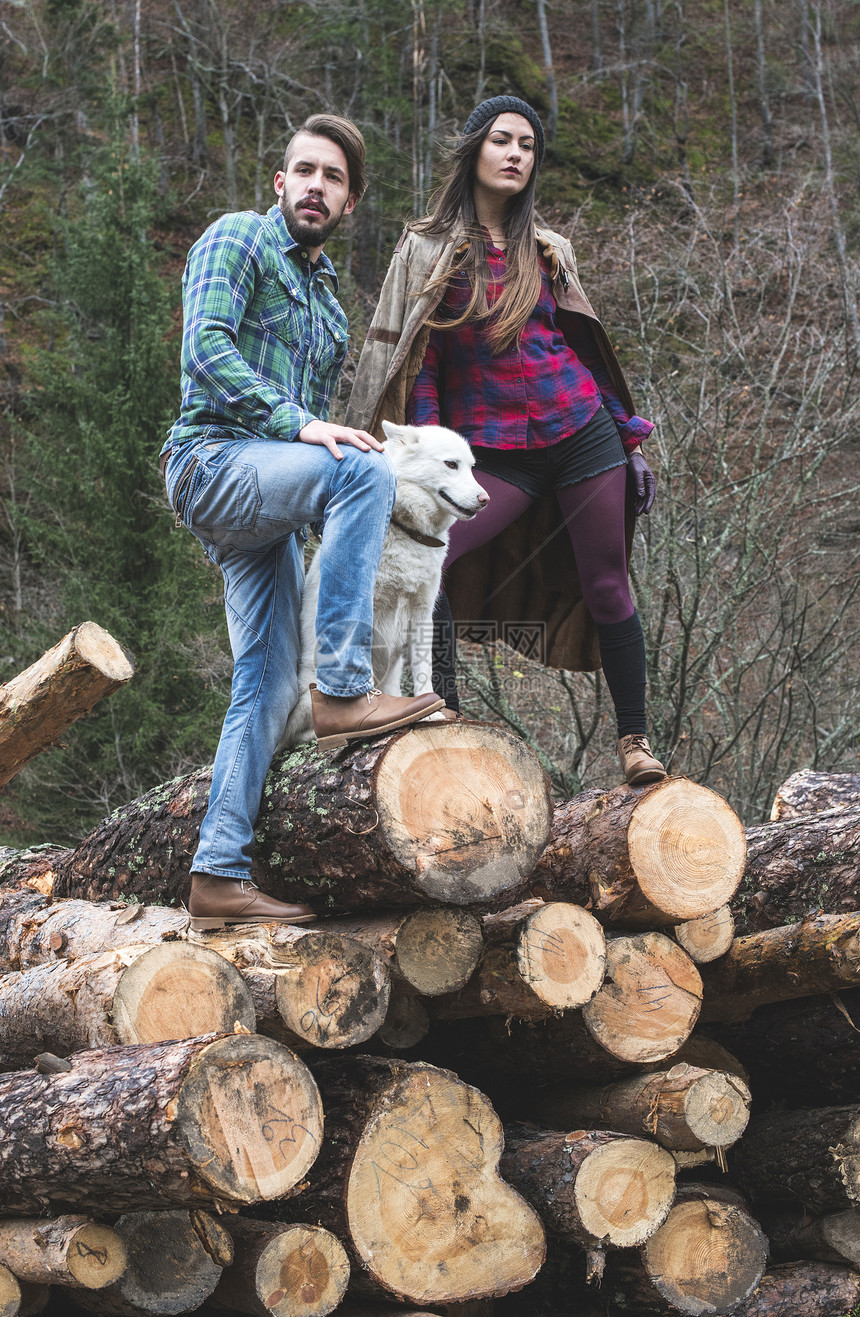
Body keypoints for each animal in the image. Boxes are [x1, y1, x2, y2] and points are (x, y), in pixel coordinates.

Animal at [280, 424, 487, 753]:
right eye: (450, 464)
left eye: (471, 468)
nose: (485, 499)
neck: (408, 532)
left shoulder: (423, 614)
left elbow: (424, 670)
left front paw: (431, 712)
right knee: (300, 734)